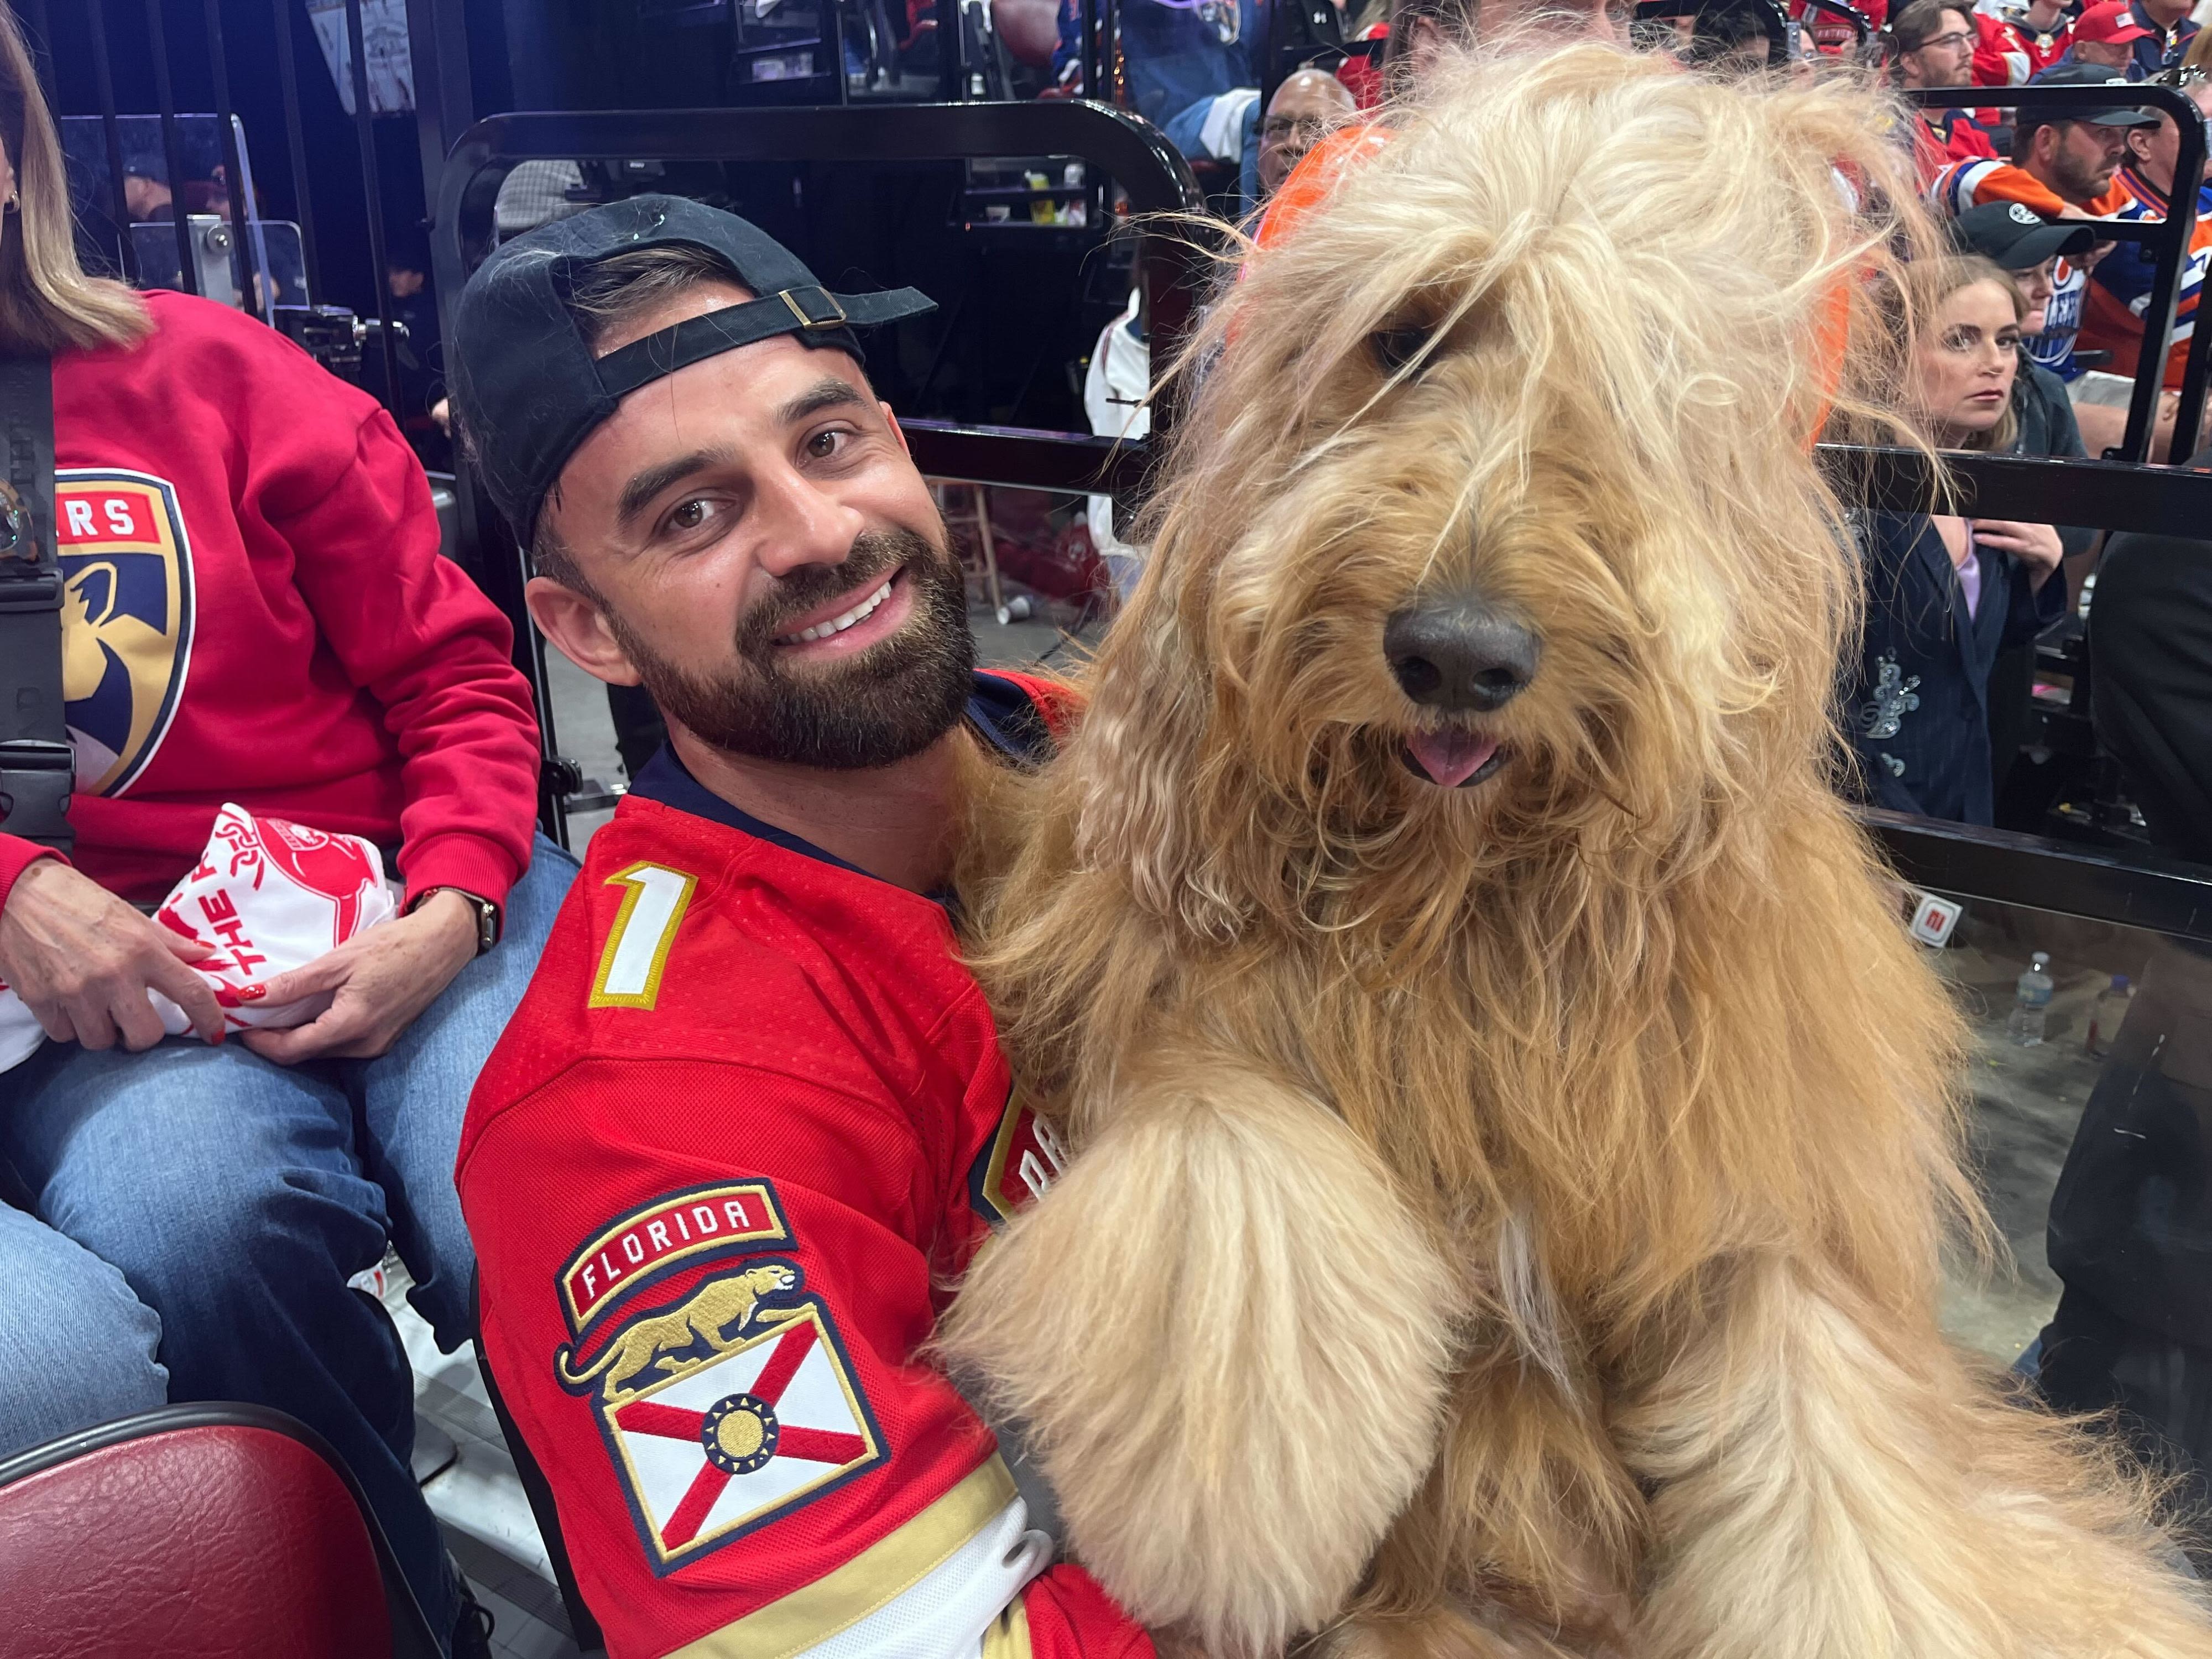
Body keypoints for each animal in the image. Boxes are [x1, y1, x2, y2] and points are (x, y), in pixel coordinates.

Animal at [942, 39, 2212, 1659]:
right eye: (1404, 337)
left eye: (1643, 386)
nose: (1458, 654)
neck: (1467, 899)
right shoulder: (1165, 979)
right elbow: (1234, 1159)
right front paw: (1233, 1481)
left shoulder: (1755, 1188)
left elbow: (1832, 1446)